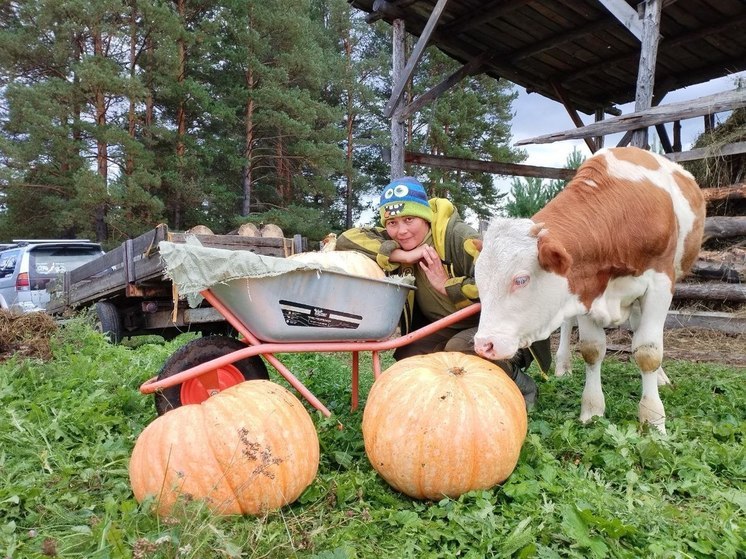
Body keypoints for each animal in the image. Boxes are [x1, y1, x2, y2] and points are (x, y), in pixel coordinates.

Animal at [474, 148, 700, 434]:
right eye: (479, 280)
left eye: (521, 280)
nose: (483, 344)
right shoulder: (585, 287)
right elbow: (592, 350)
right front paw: (592, 411)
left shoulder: (660, 283)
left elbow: (648, 352)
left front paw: (653, 420)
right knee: (568, 323)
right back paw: (563, 366)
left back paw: (660, 378)